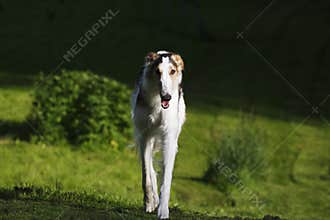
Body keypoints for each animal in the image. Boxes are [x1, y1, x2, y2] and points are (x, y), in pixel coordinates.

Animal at [133, 51, 187, 218]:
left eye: (172, 71)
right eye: (157, 71)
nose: (167, 97)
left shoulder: (169, 139)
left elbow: (166, 179)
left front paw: (163, 210)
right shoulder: (144, 135)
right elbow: (146, 176)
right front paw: (149, 202)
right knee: (150, 168)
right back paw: (153, 200)